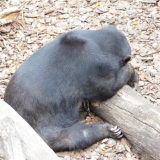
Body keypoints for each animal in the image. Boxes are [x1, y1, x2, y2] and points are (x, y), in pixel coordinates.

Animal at [4, 25, 136, 151]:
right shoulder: (90, 65)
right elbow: (106, 86)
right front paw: (131, 73)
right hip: (41, 121)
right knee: (70, 136)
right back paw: (111, 130)